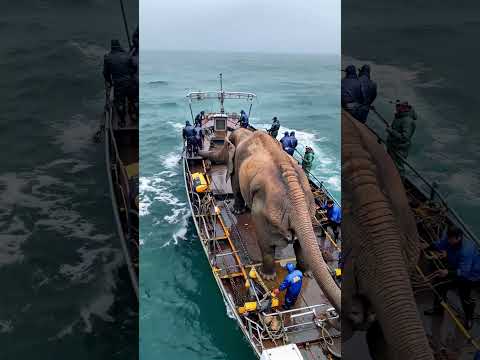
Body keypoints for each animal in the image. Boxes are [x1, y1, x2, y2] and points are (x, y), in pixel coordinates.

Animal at [199, 129, 342, 312]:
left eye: (224, 148)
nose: (203, 156)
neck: (245, 133)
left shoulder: (237, 162)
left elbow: (236, 184)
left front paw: (237, 210)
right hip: (308, 212)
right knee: (301, 244)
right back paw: (306, 273)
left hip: (264, 213)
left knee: (266, 243)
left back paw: (267, 277)